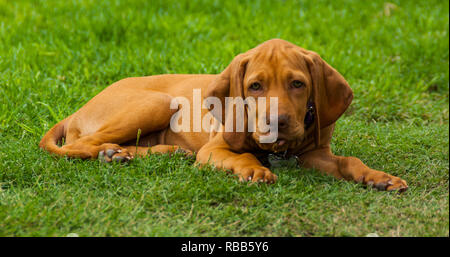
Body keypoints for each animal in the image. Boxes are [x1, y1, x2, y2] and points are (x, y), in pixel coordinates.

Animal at [40, 38, 408, 190]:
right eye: (255, 86)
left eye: (298, 84)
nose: (277, 123)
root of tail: (77, 110)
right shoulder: (213, 149)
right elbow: (240, 156)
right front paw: (254, 169)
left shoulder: (315, 154)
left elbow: (349, 161)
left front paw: (379, 177)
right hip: (160, 102)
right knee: (80, 146)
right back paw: (116, 152)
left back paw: (134, 153)